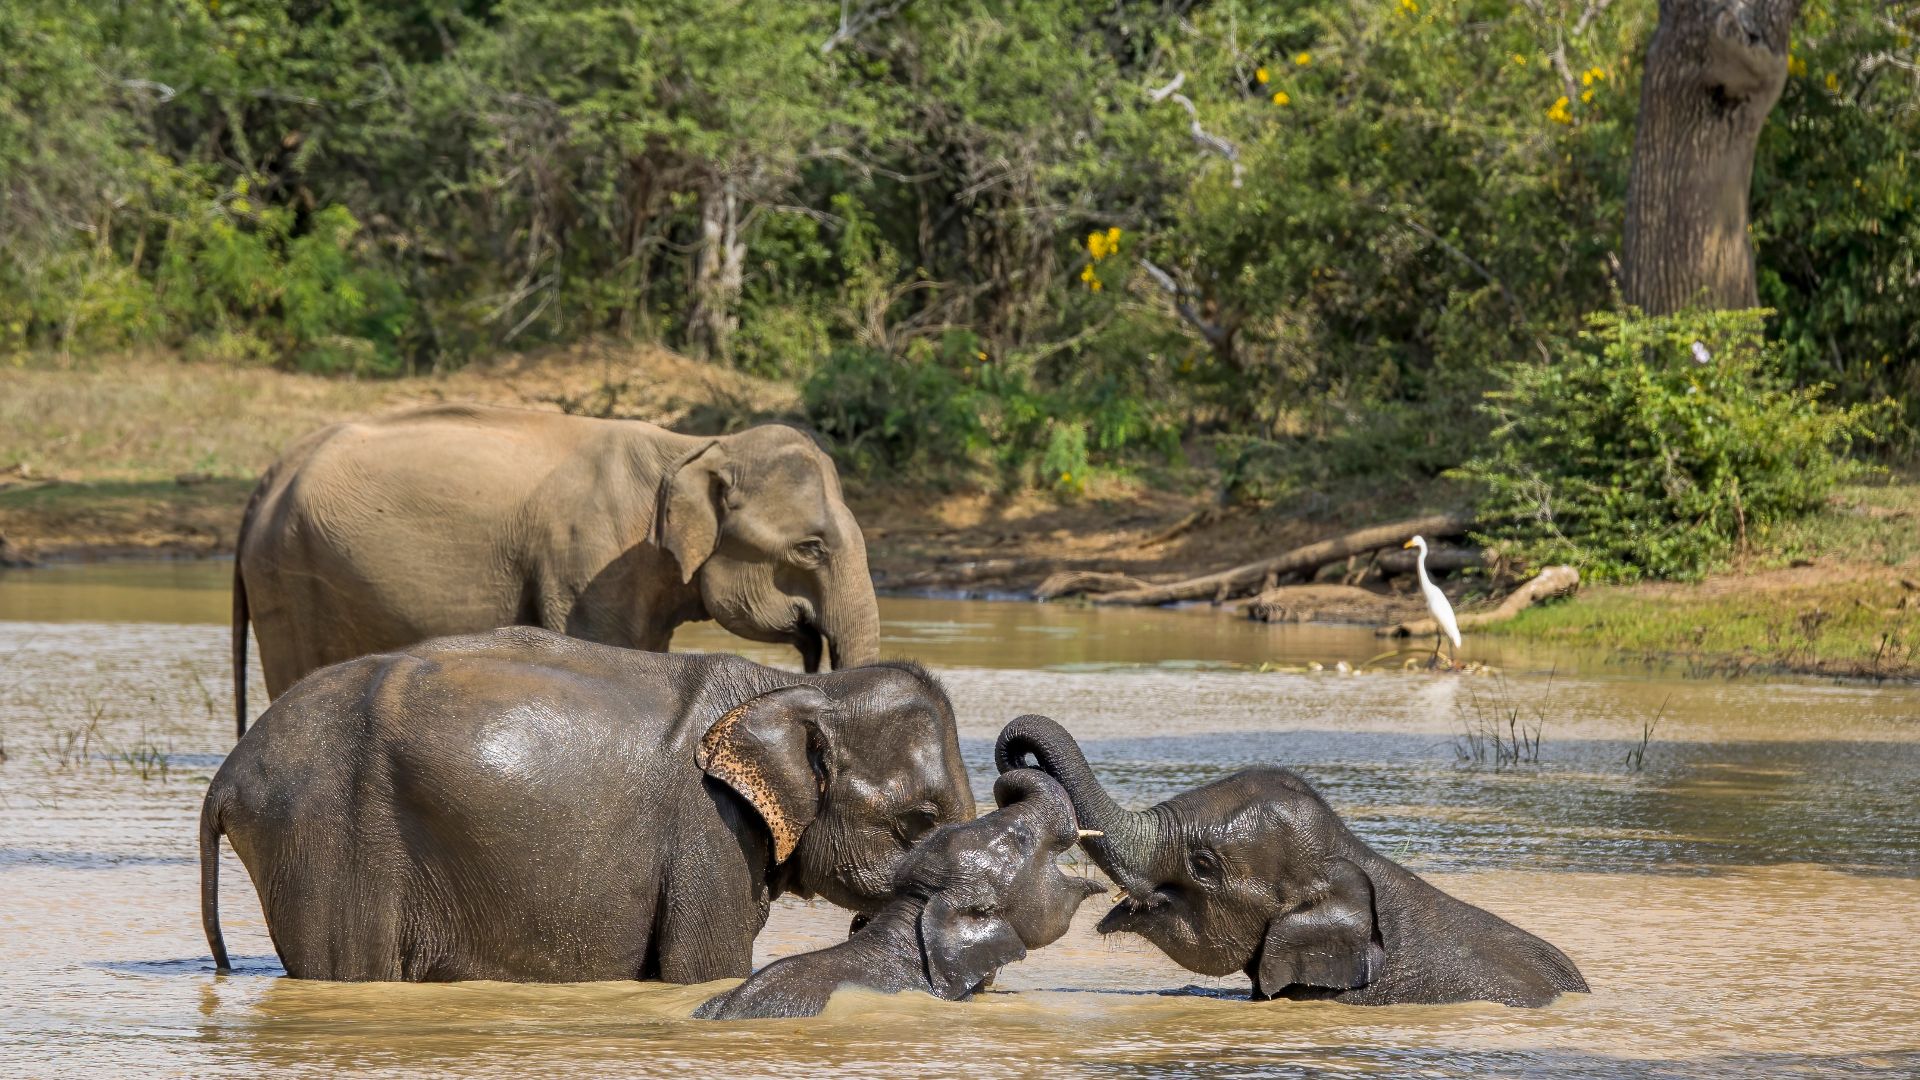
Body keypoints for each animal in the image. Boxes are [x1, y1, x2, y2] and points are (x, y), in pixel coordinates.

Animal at [199, 626, 973, 983]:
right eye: (920, 821)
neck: (789, 687)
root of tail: (226, 777)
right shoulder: (709, 833)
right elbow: (702, 969)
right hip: (328, 840)